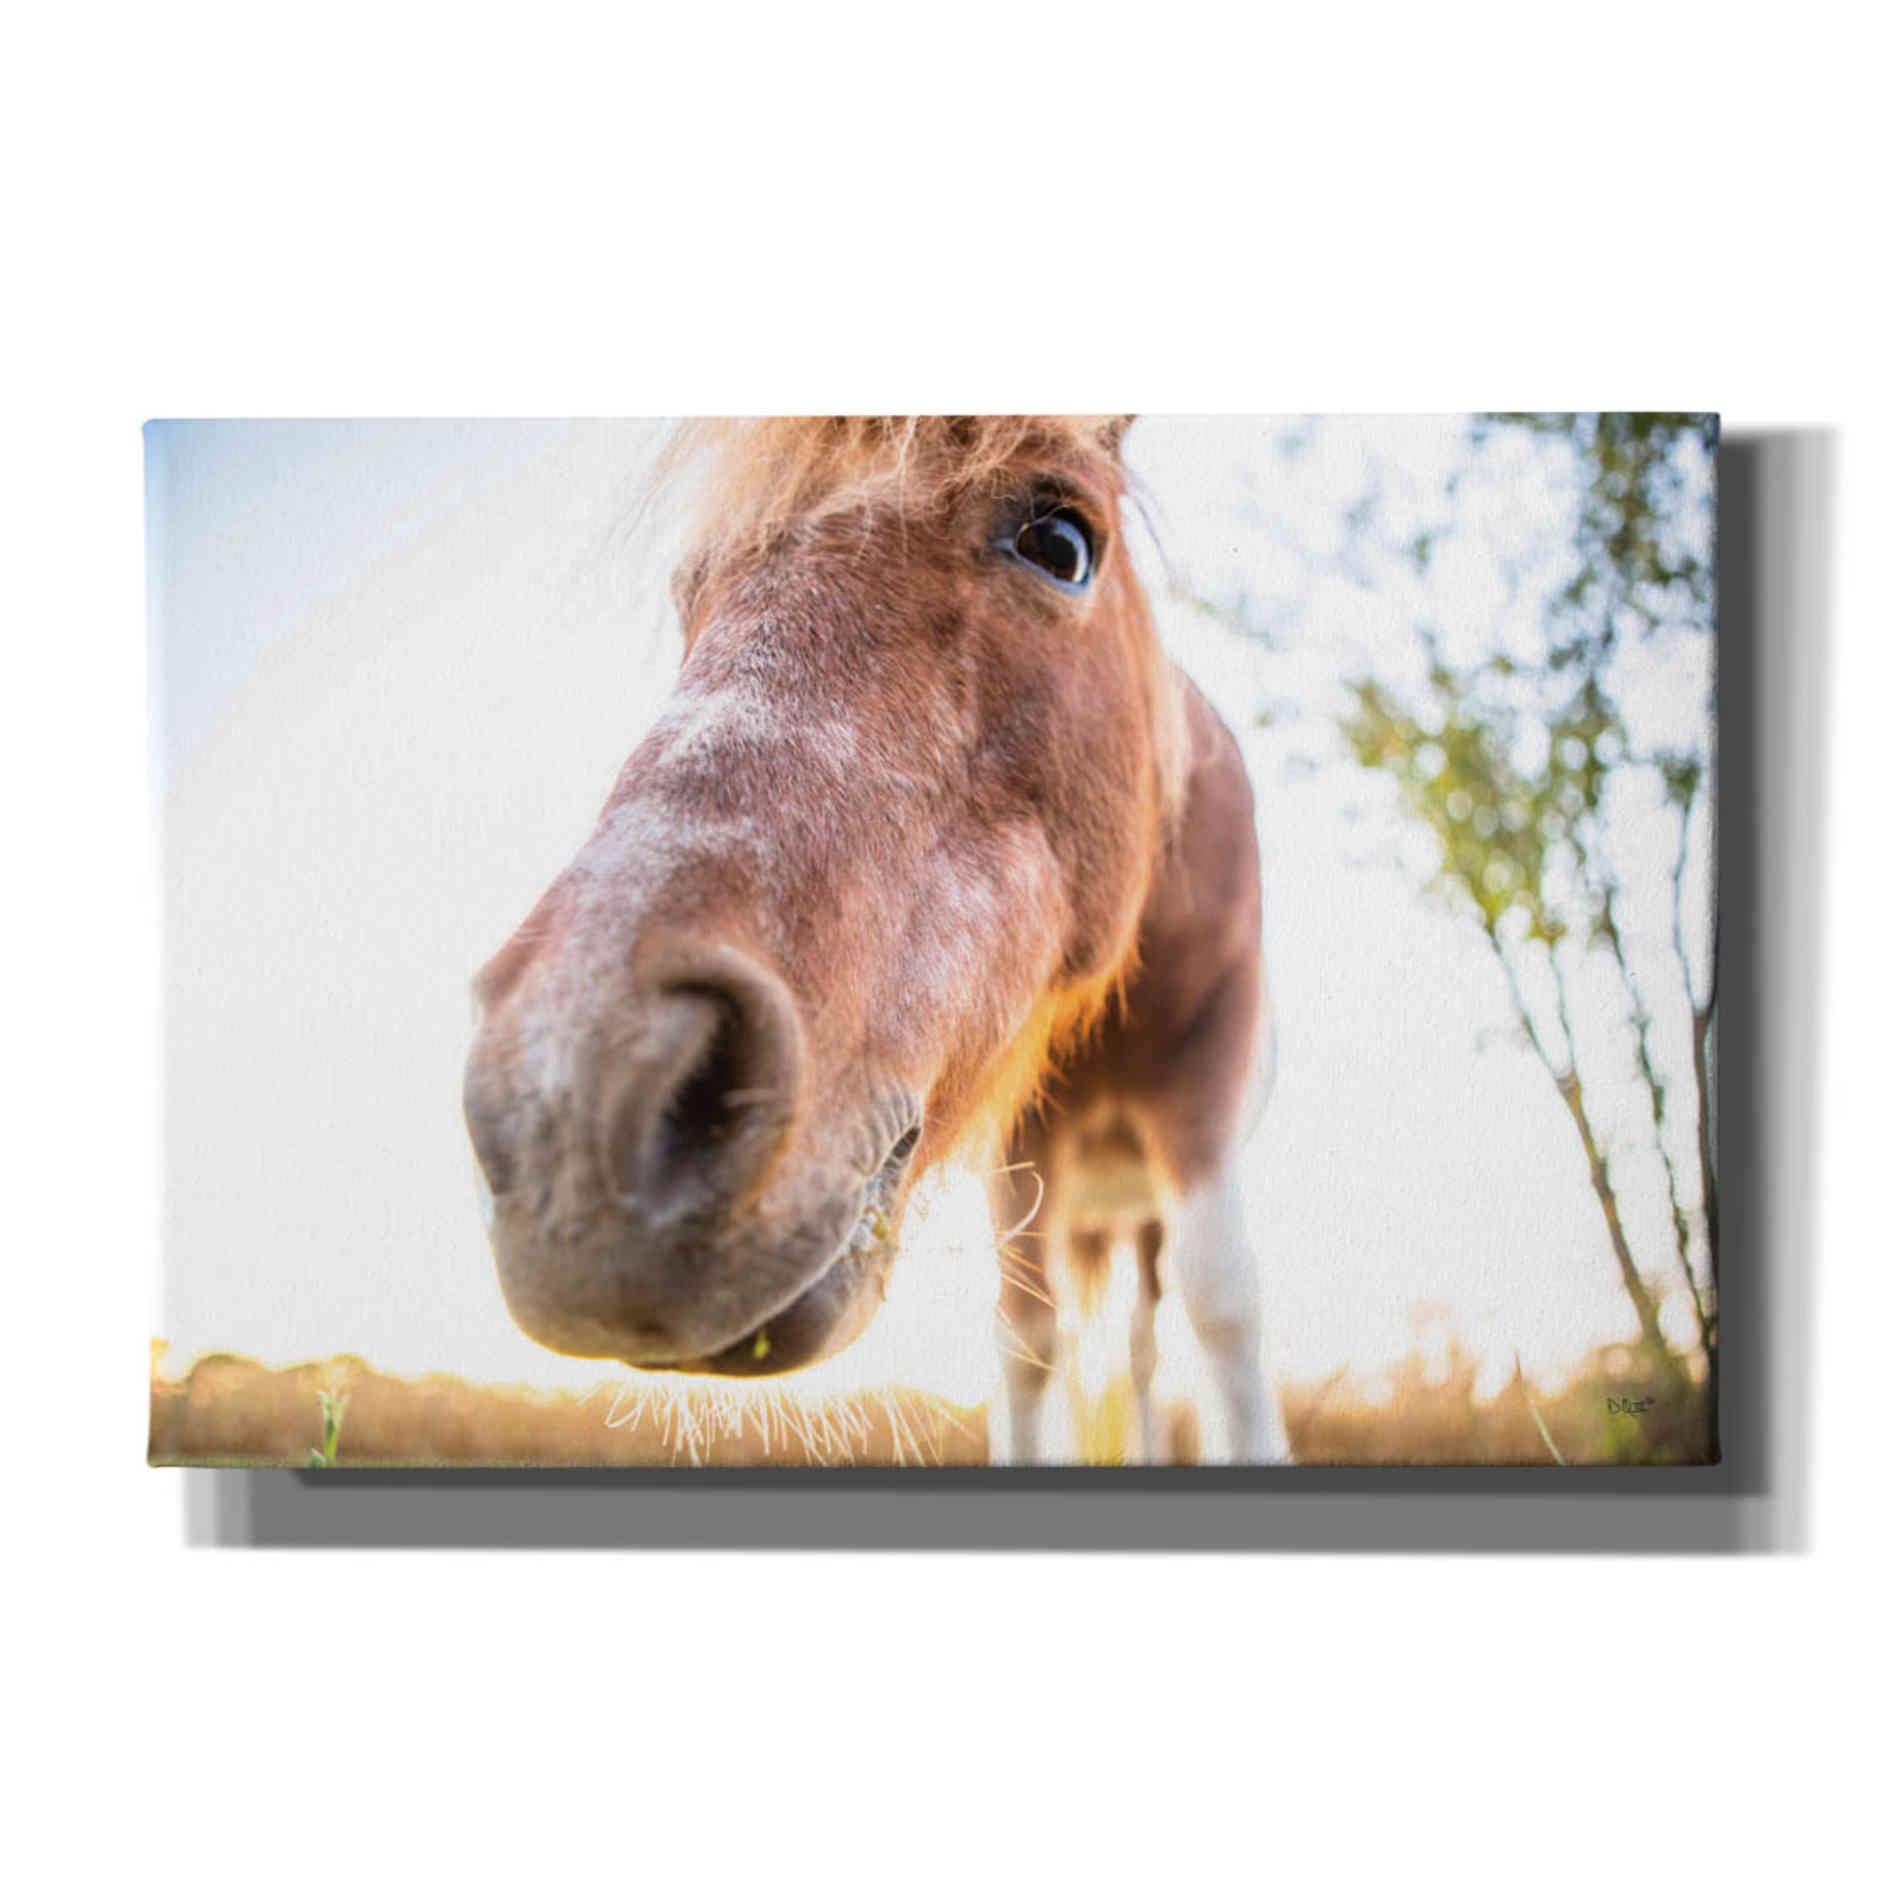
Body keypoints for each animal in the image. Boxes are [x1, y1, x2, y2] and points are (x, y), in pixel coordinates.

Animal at [462, 416, 1290, 1463]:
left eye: (1061, 543)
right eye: (692, 589)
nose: (569, 1106)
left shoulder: (1200, 1093)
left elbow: (1223, 1308)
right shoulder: (1020, 1148)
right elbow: (1026, 1343)